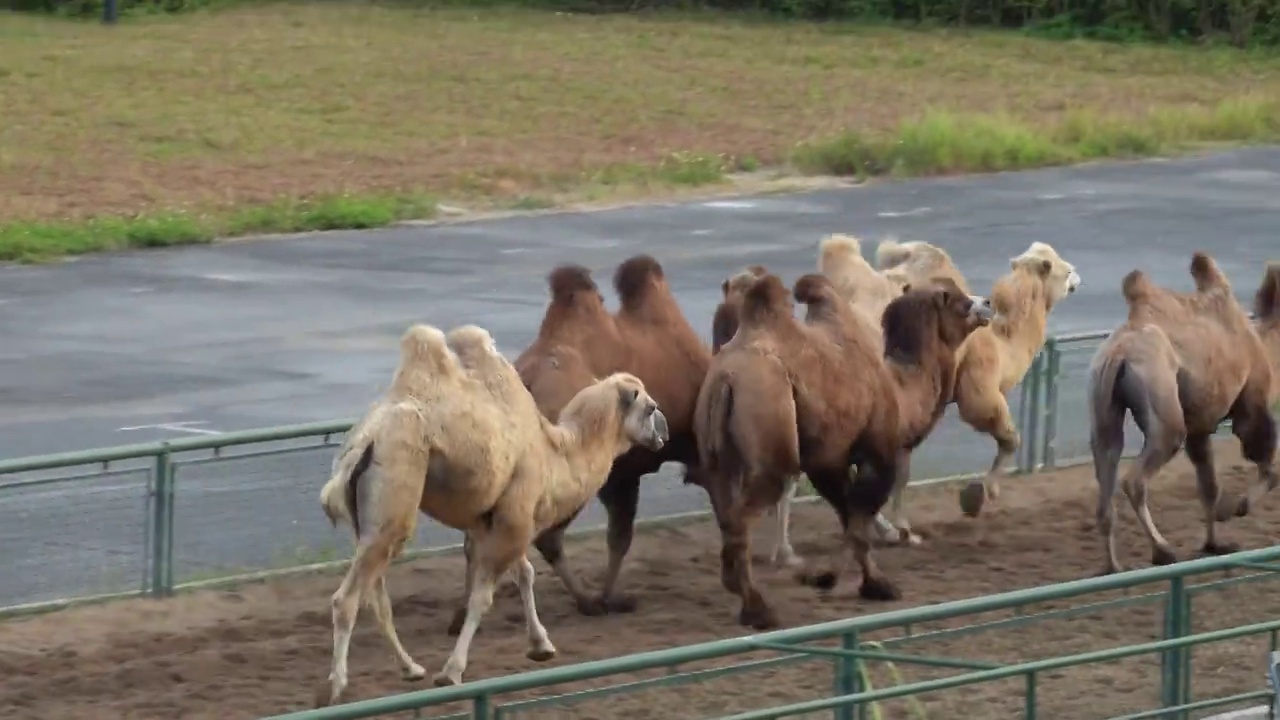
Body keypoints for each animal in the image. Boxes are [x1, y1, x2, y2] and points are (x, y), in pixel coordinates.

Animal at [317, 320, 670, 702]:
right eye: (650, 407)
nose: (663, 432)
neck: (554, 453)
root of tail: (363, 443)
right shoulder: (515, 516)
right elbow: (483, 596)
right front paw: (452, 672)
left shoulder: (502, 517)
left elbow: (524, 574)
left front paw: (541, 645)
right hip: (396, 491)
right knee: (347, 598)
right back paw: (334, 687)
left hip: (369, 519)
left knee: (376, 594)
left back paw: (410, 668)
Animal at [442, 251, 711, 627]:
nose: (662, 430)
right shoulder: (623, 473)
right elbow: (620, 537)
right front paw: (611, 597)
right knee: (547, 537)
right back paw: (587, 601)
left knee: (478, 539)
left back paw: (460, 615)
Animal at [696, 269, 993, 627]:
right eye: (961, 303)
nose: (987, 303)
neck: (902, 391)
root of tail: (727, 379)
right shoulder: (875, 455)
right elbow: (859, 520)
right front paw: (847, 580)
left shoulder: (828, 461)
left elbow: (848, 516)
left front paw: (855, 580)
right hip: (771, 437)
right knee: (743, 517)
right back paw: (758, 609)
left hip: (717, 454)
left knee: (725, 511)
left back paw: (737, 587)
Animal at [1090, 252, 1280, 571]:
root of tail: (1119, 354)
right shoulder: (1252, 401)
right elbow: (1265, 460)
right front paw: (1234, 509)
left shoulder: (1199, 427)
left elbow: (1208, 485)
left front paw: (1215, 544)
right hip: (1161, 395)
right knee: (1136, 477)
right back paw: (1163, 551)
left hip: (1102, 401)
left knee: (1107, 464)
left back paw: (1114, 567)